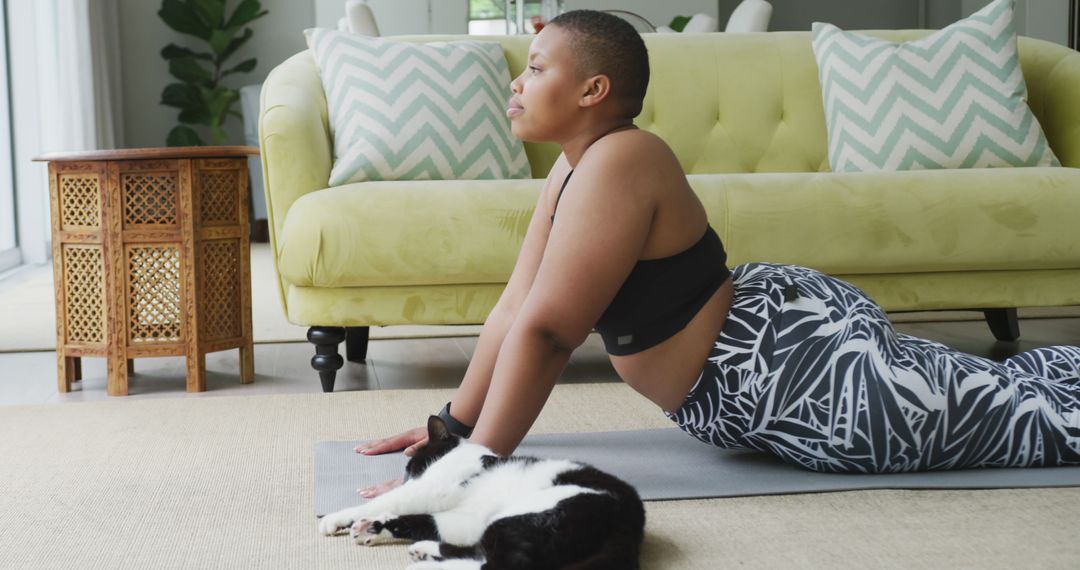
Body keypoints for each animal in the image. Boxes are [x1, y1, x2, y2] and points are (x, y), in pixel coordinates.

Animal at [315, 414, 643, 570]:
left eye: (411, 467)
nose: (405, 478)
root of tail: (632, 520)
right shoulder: (460, 516)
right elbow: (424, 520)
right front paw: (372, 525)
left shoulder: (427, 489)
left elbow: (387, 502)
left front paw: (336, 518)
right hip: (493, 524)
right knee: (480, 553)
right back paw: (423, 550)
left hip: (527, 517)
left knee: (503, 565)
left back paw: (423, 566)